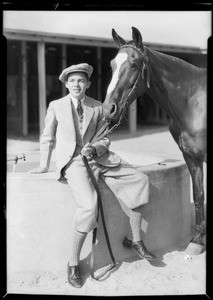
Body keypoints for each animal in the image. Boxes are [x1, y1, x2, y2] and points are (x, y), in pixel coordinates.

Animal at [103, 27, 206, 254]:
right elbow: (198, 195)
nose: (108, 110)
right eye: (112, 65)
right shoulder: (191, 156)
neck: (194, 103)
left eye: (134, 64)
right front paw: (197, 241)